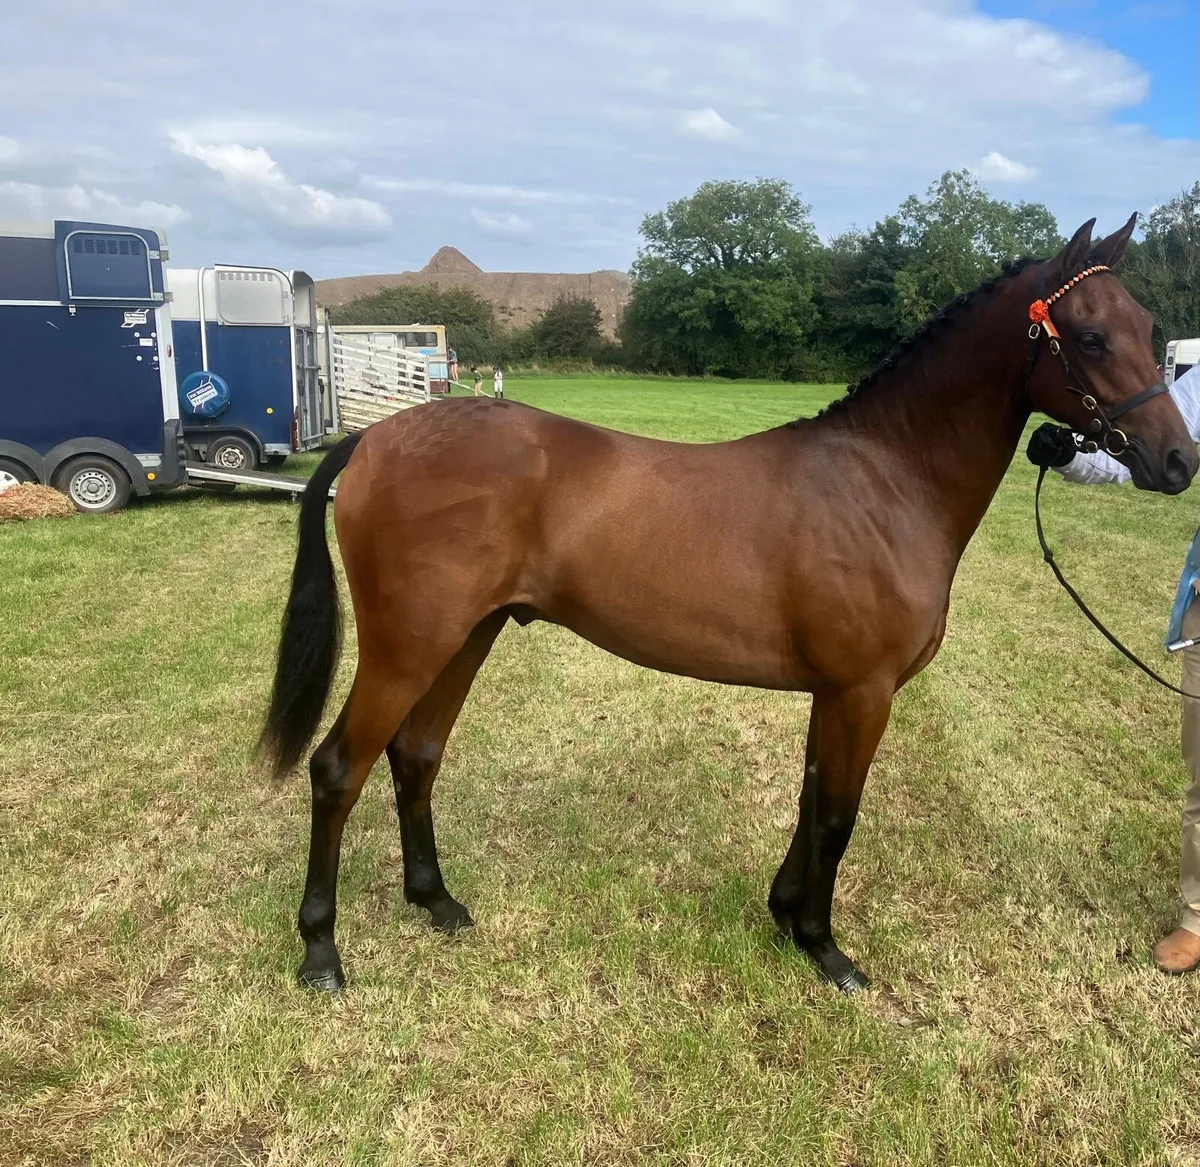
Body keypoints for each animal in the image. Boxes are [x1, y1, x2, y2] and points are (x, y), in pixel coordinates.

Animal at [260, 217, 1197, 995]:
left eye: (1152, 330)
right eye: (1089, 335)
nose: (1178, 460)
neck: (885, 479)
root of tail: (376, 439)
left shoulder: (834, 693)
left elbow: (812, 800)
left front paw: (786, 918)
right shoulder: (865, 692)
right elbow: (837, 815)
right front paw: (827, 948)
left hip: (465, 636)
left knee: (416, 754)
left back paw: (437, 902)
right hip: (407, 645)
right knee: (338, 768)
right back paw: (322, 952)